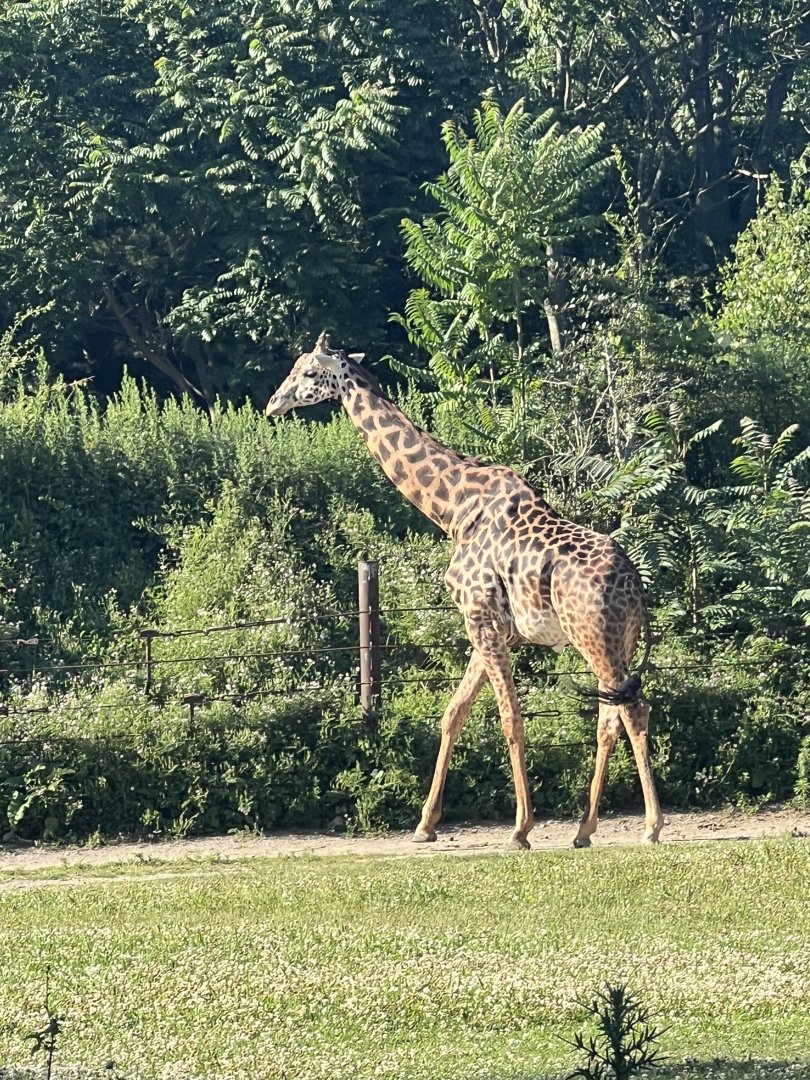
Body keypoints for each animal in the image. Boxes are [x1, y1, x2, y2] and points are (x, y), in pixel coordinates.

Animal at [265, 334, 664, 850]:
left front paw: (520, 829)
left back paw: (651, 826)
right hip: (613, 643)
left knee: (633, 710)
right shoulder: (492, 626)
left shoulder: (480, 617)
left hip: (596, 639)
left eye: (311, 373)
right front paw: (425, 825)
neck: (453, 509)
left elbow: (510, 718)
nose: (274, 403)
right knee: (609, 717)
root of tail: (636, 586)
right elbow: (453, 713)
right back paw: (584, 830)